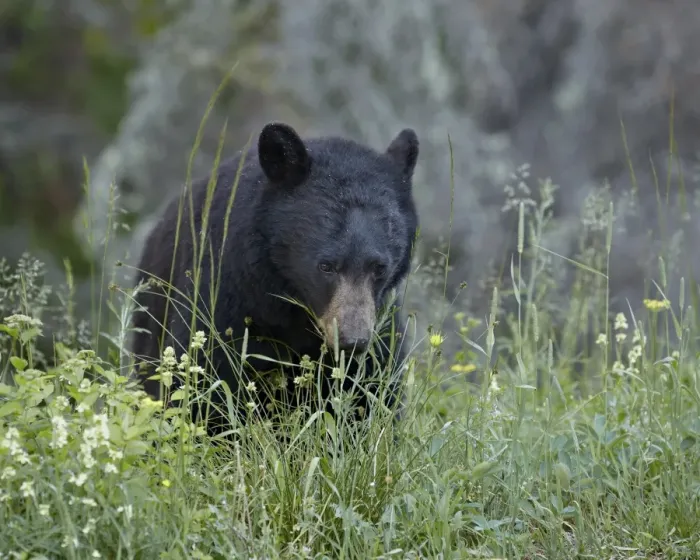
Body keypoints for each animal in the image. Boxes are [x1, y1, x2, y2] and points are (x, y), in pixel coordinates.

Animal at [130, 121, 420, 434]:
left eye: (379, 267)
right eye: (326, 266)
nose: (352, 340)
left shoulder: (382, 323)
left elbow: (372, 389)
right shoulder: (226, 294)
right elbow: (207, 376)